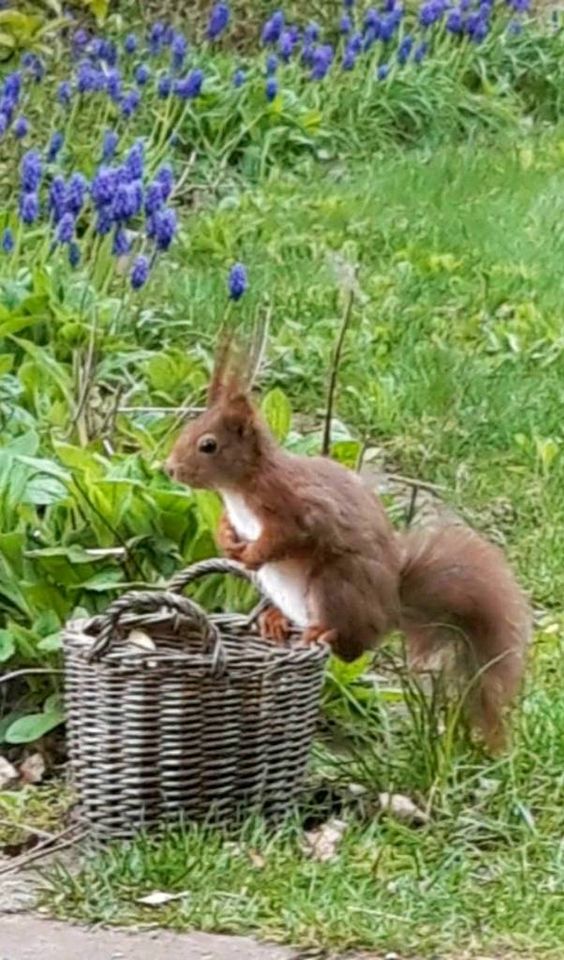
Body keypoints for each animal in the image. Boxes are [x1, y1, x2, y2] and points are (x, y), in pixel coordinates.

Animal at [165, 342, 532, 748]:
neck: (240, 487)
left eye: (208, 445)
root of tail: (389, 609)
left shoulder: (296, 510)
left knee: (351, 646)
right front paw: (229, 543)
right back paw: (275, 620)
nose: (169, 469)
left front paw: (252, 555)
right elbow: (228, 527)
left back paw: (321, 632)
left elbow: (286, 538)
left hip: (334, 585)